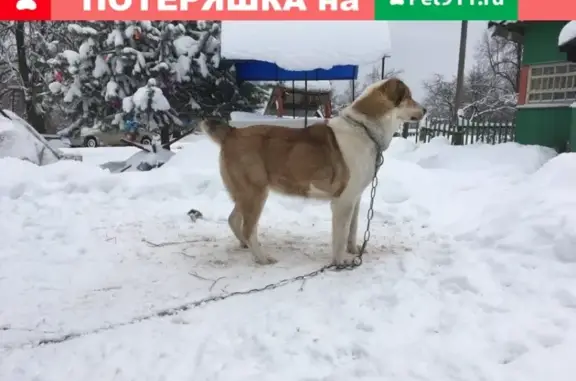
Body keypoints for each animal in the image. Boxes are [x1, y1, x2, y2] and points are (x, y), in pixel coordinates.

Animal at [200, 78, 426, 264]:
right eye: (409, 97)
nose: (425, 110)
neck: (364, 128)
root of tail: (232, 132)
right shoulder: (343, 201)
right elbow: (340, 236)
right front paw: (339, 262)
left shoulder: (355, 197)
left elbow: (352, 231)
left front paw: (354, 251)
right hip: (255, 194)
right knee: (248, 228)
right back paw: (262, 258)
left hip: (246, 194)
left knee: (234, 220)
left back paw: (246, 247)